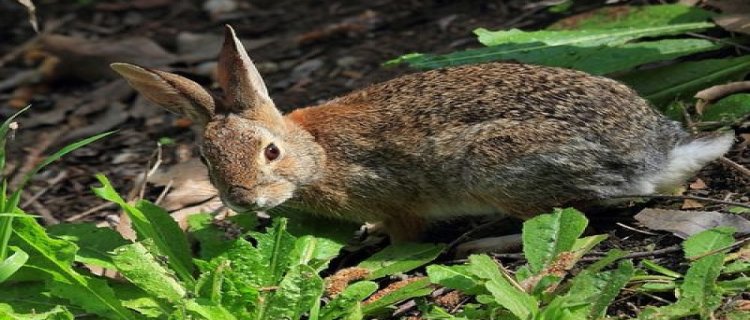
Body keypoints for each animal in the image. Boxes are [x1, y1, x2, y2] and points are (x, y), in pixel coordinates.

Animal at [110, 25, 736, 242]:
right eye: (208, 164)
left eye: (270, 151)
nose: (242, 199)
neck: (318, 155)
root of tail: (660, 151)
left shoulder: (392, 200)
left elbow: (402, 235)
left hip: (500, 165)